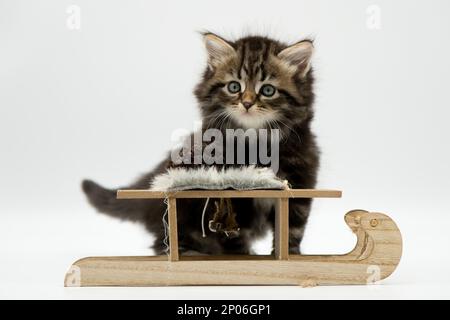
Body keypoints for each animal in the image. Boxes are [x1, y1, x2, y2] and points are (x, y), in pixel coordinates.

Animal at [81, 33, 320, 255]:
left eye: (268, 90)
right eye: (234, 87)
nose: (247, 103)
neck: (256, 141)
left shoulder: (300, 183)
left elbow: (292, 230)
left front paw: (291, 256)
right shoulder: (229, 194)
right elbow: (233, 234)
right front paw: (242, 258)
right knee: (167, 242)